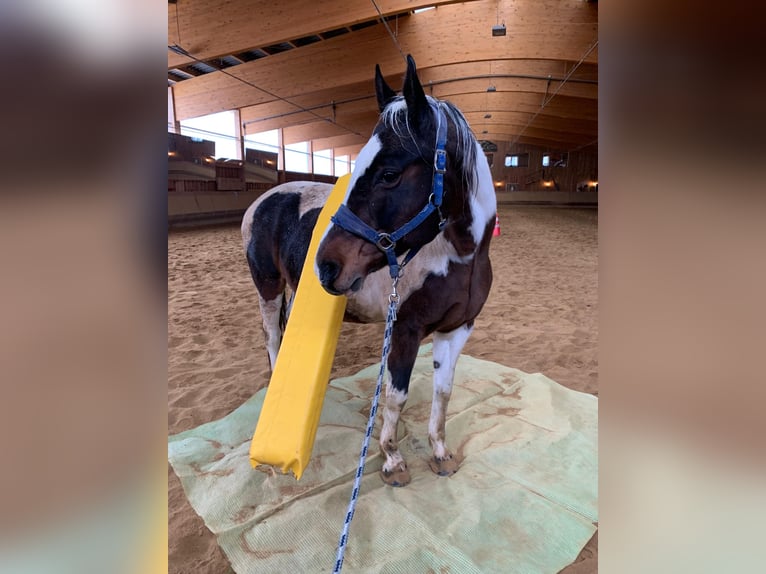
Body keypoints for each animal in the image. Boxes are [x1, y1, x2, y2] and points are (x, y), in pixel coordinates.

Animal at [243, 54, 500, 488]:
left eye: (389, 173)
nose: (326, 265)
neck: (459, 257)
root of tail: (262, 200)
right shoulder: (405, 330)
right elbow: (396, 397)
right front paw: (392, 460)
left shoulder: (457, 329)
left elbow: (443, 393)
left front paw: (440, 453)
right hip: (269, 288)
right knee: (272, 338)